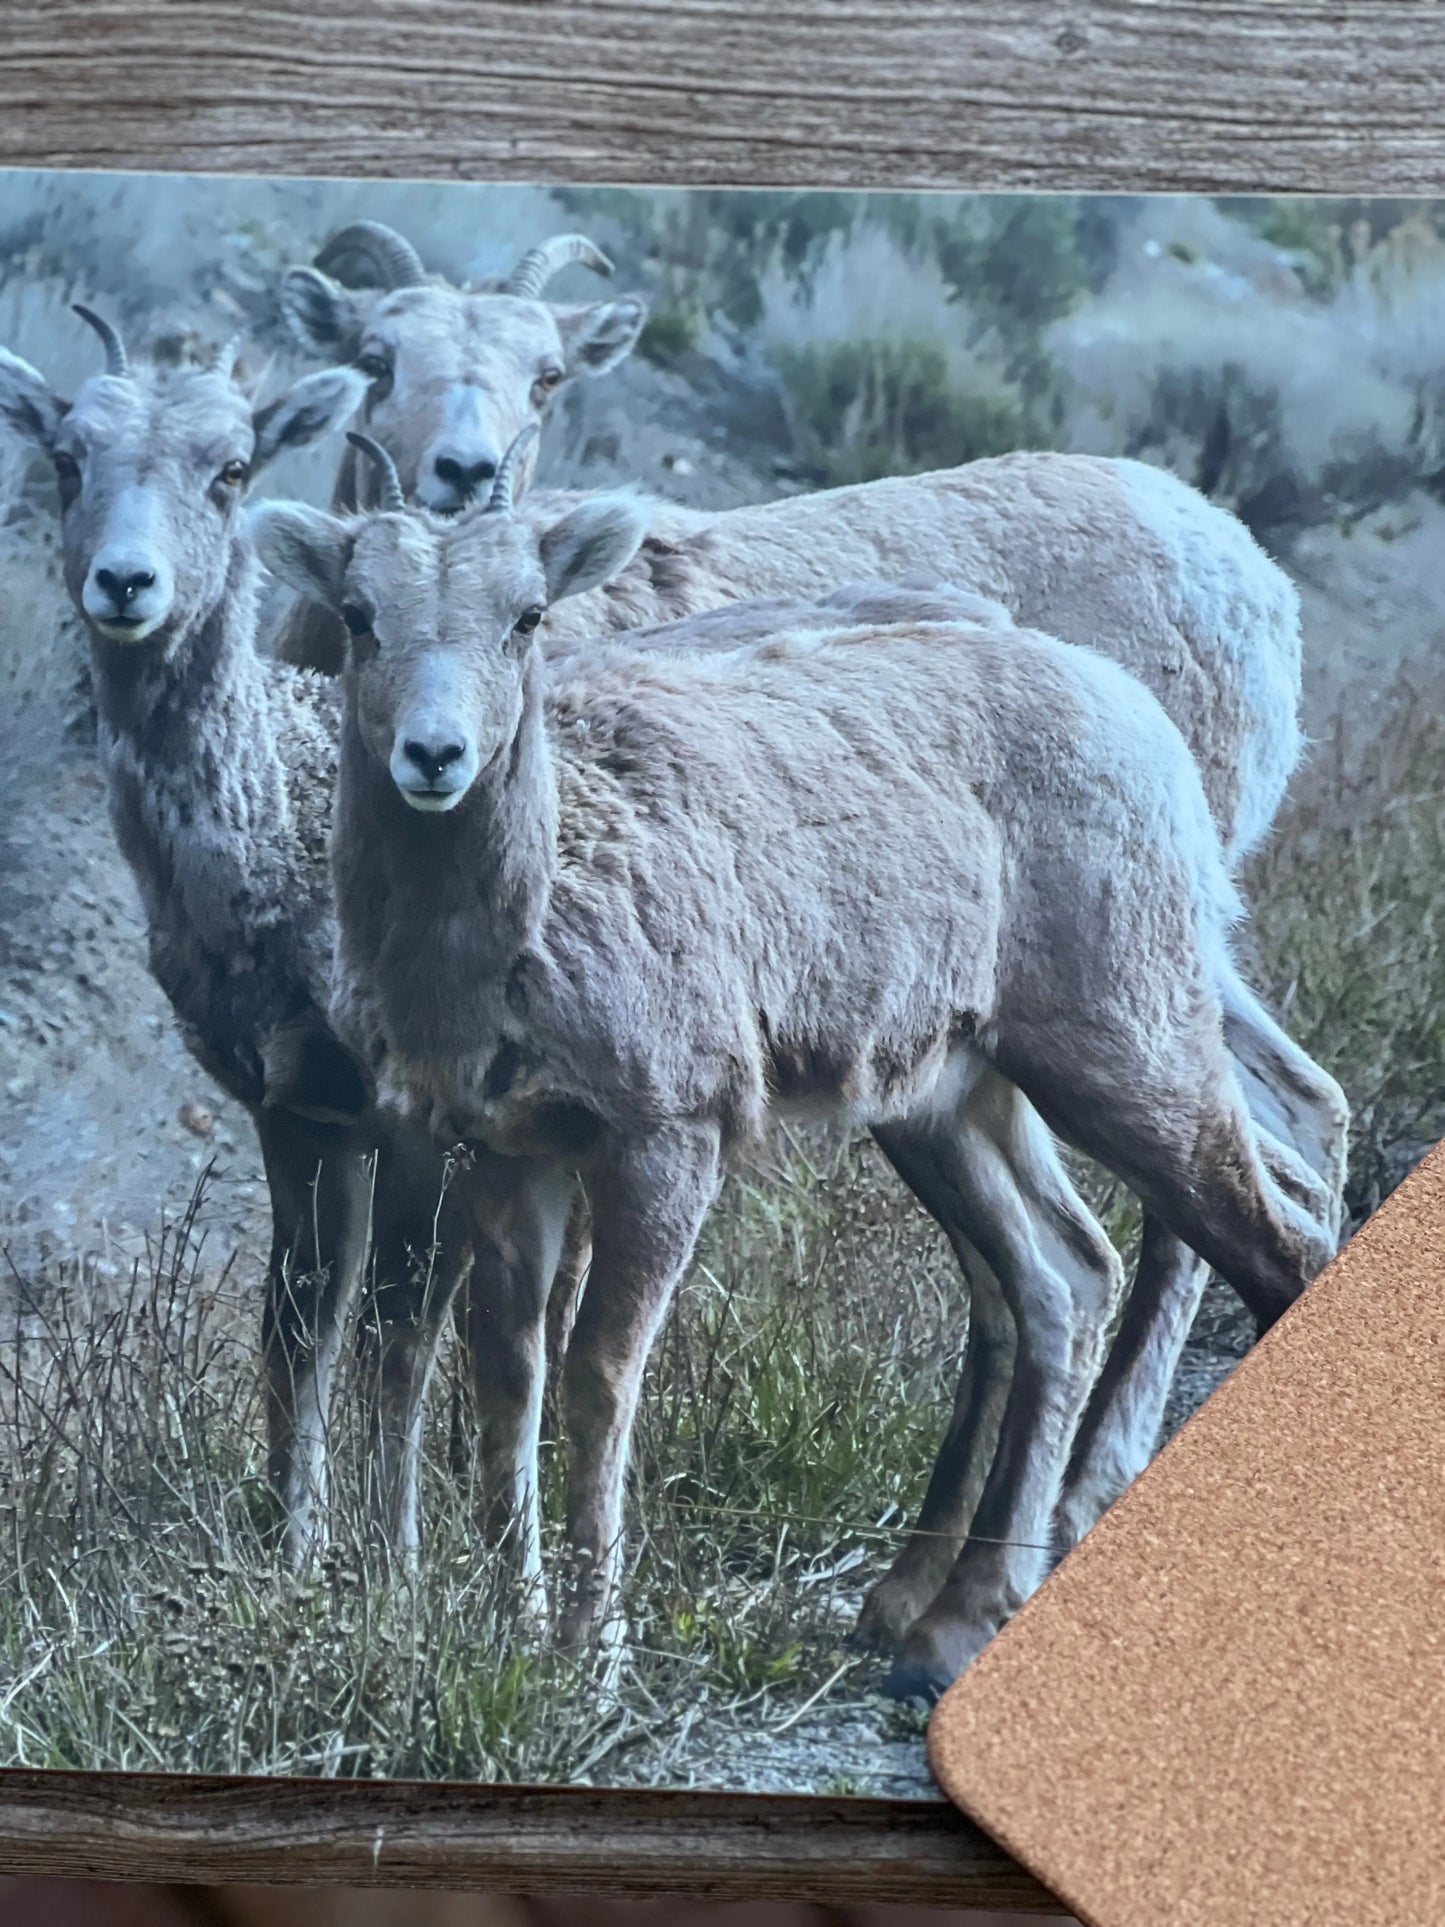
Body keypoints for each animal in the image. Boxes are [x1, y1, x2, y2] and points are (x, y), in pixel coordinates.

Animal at [0, 311, 508, 1569]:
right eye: (67, 457)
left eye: (231, 468)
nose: (126, 581)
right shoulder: (295, 1109)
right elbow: (299, 1323)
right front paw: (293, 1549)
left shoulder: (424, 1120)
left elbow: (398, 1332)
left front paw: (396, 1565)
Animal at [252, 455, 1340, 1697]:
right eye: (358, 614)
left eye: (524, 617)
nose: (434, 756)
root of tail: (1132, 709)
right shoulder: (511, 1153)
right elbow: (506, 1371)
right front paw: (508, 1629)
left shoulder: (665, 1135)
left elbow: (598, 1373)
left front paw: (590, 1651)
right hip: (952, 1097)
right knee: (1063, 1273)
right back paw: (946, 1622)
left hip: (1126, 1041)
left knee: (1265, 1243)